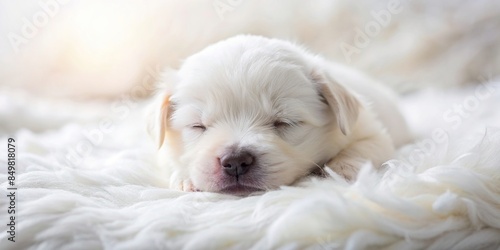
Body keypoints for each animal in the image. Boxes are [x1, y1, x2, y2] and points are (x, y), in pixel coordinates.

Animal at [147, 34, 410, 195]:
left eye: (285, 123)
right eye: (197, 126)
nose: (236, 161)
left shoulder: (373, 133)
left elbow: (363, 149)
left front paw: (339, 169)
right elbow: (171, 159)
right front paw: (186, 177)